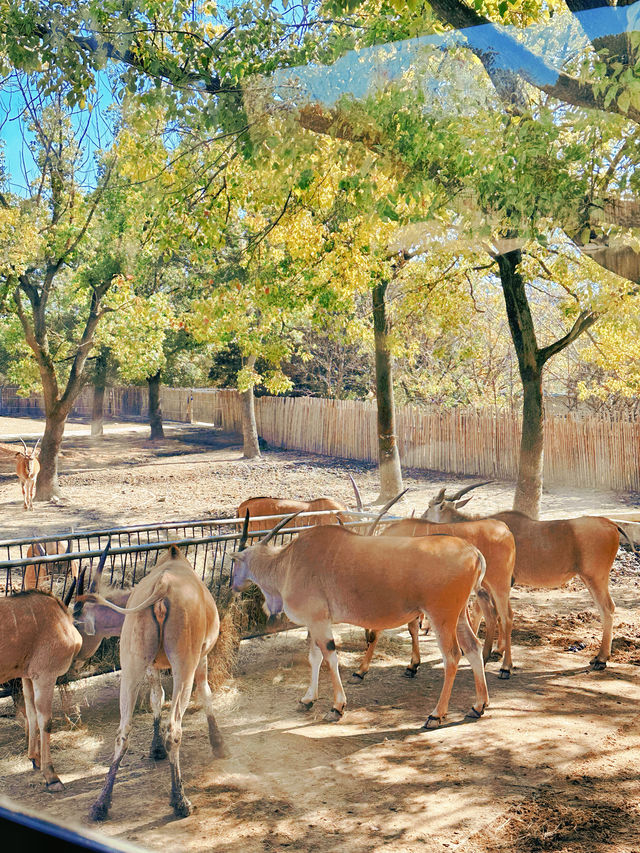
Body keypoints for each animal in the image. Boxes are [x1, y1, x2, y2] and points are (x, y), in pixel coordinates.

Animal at [0, 588, 82, 788]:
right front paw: (51, 777)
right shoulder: (45, 675)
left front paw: (34, 758)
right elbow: (46, 721)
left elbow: (31, 714)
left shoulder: (28, 676)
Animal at [84, 544, 226, 820]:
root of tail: (163, 587)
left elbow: (155, 698)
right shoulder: (202, 657)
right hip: (184, 665)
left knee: (122, 732)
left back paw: (100, 804)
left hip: (131, 663)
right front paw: (219, 744)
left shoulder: (151, 666)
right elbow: (205, 693)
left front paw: (155, 748)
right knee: (174, 728)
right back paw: (180, 799)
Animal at [231, 512, 490, 724]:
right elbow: (315, 657)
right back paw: (478, 706)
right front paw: (307, 699)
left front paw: (337, 707)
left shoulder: (318, 622)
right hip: (458, 617)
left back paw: (436, 714)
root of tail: (474, 553)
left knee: (452, 656)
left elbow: (329, 657)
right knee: (473, 647)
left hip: (441, 617)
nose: (233, 585)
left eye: (234, 562)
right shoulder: (316, 623)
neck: (287, 562)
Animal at [352, 516, 516, 684]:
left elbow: (381, 630)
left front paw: (360, 671)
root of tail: (504, 528)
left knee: (506, 617)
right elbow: (412, 628)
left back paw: (505, 668)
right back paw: (485, 657)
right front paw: (413, 666)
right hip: (485, 587)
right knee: (491, 615)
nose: (366, 637)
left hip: (500, 585)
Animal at [422, 482, 624, 668]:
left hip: (595, 578)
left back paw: (601, 658)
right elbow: (496, 613)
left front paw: (495, 651)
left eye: (430, 505)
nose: (422, 518)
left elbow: (487, 612)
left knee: (608, 608)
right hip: (589, 579)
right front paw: (499, 650)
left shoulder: (495, 582)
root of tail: (612, 524)